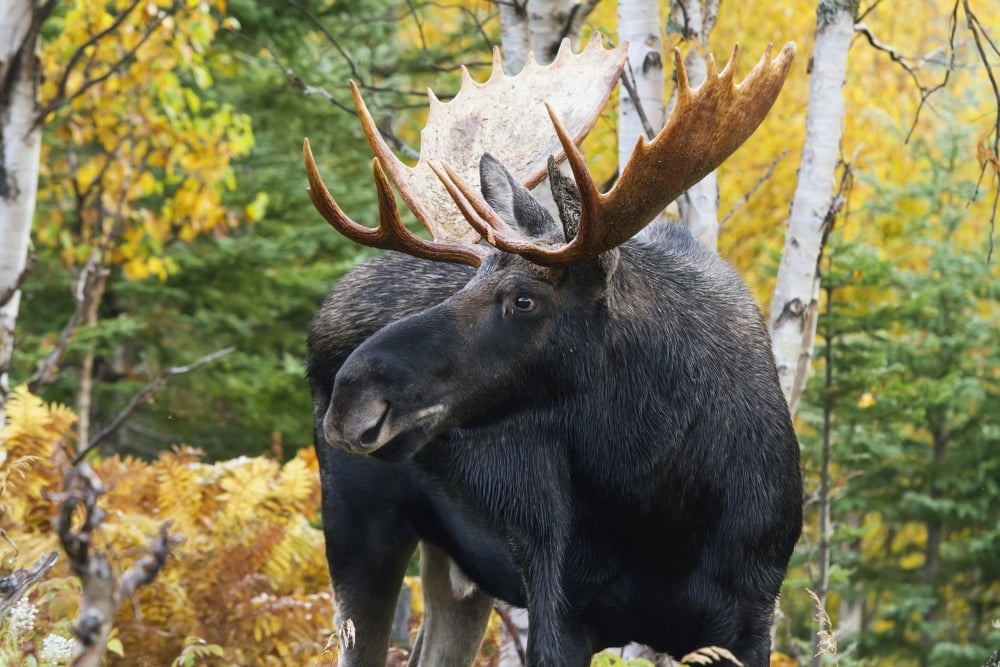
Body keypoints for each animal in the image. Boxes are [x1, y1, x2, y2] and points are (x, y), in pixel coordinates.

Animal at [304, 34, 802, 667]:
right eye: (468, 280)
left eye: (525, 299)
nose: (353, 395)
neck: (661, 506)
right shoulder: (557, 604)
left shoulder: (750, 616)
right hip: (358, 529)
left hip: (460, 571)